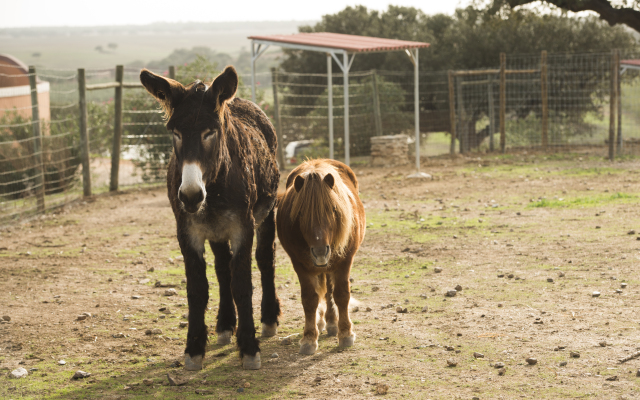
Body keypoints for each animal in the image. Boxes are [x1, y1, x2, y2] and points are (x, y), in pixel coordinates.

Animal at [276, 159, 364, 354]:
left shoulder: (345, 261)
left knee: (330, 291)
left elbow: (341, 295)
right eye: (301, 213)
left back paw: (332, 323)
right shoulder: (299, 265)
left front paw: (346, 333)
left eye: (333, 209)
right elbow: (310, 299)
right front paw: (309, 338)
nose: (320, 252)